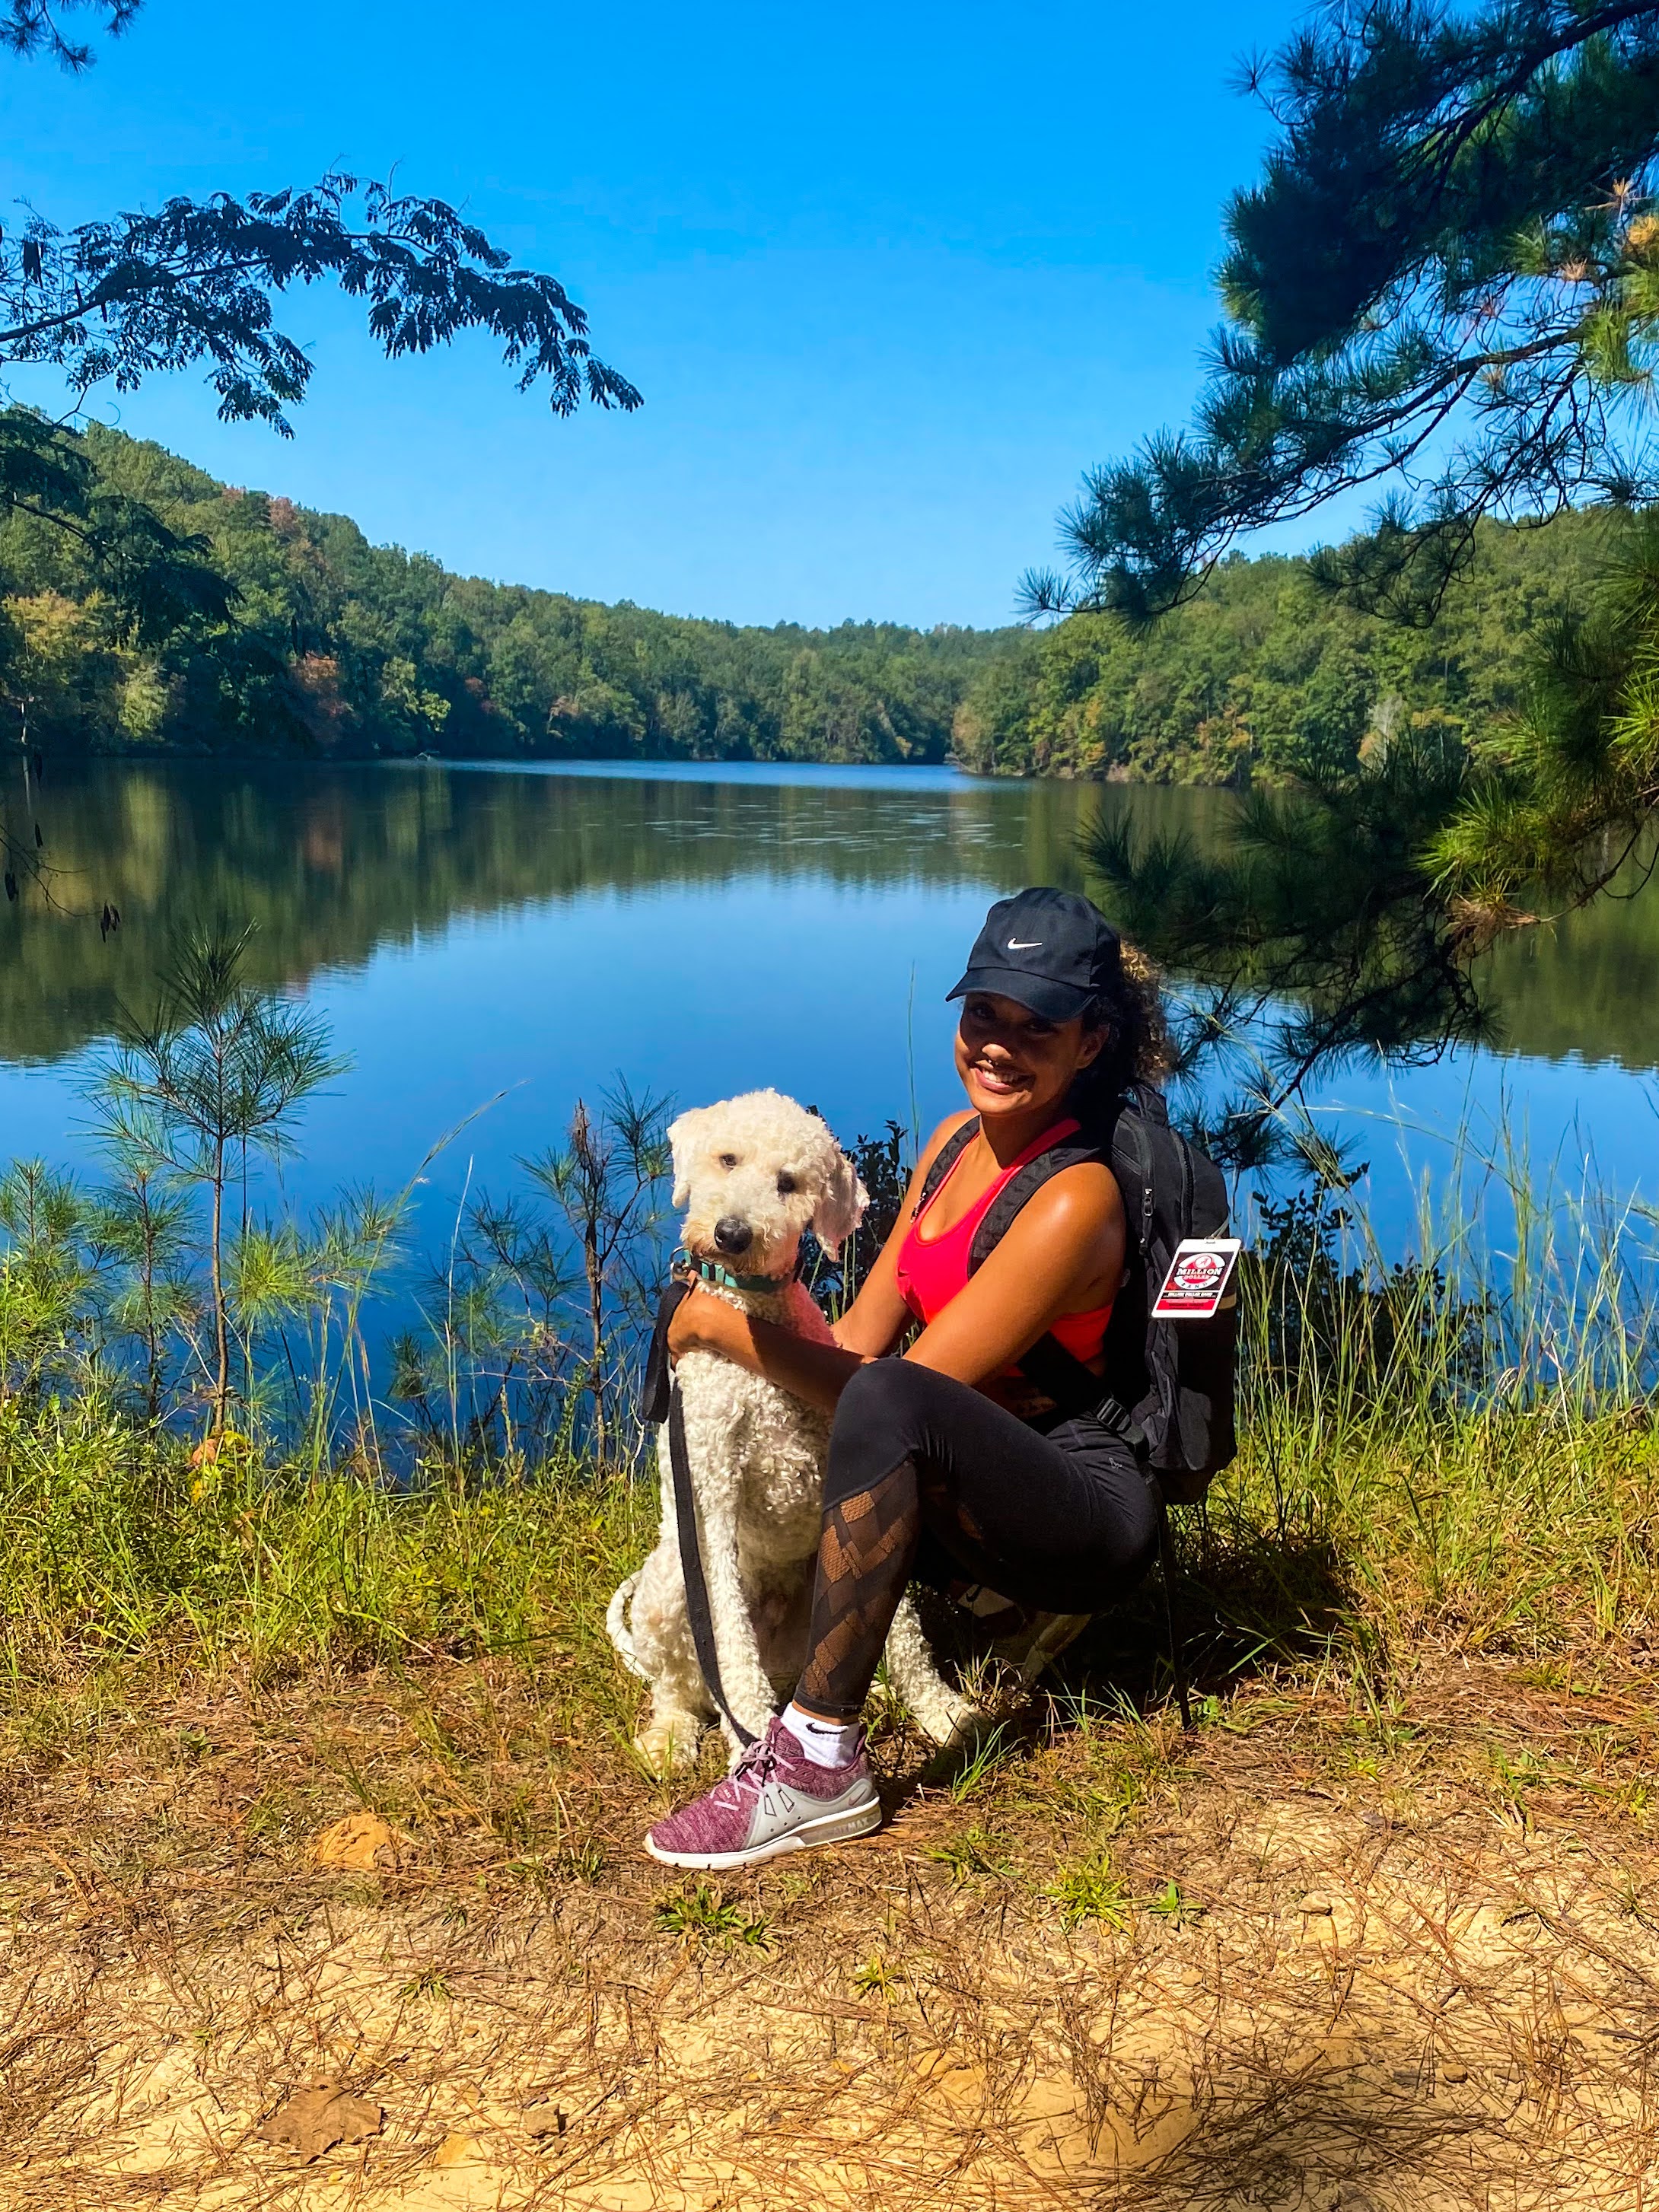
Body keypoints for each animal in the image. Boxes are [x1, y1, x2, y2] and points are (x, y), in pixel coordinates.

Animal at [606, 1093, 973, 1778]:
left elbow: (903, 1627)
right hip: (670, 1584)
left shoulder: (851, 1471)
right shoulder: (711, 1503)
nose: (733, 1233)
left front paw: (941, 1710)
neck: (753, 1328)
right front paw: (751, 1747)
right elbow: (730, 1650)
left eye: (789, 1182)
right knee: (681, 1686)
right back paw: (672, 1735)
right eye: (727, 1159)